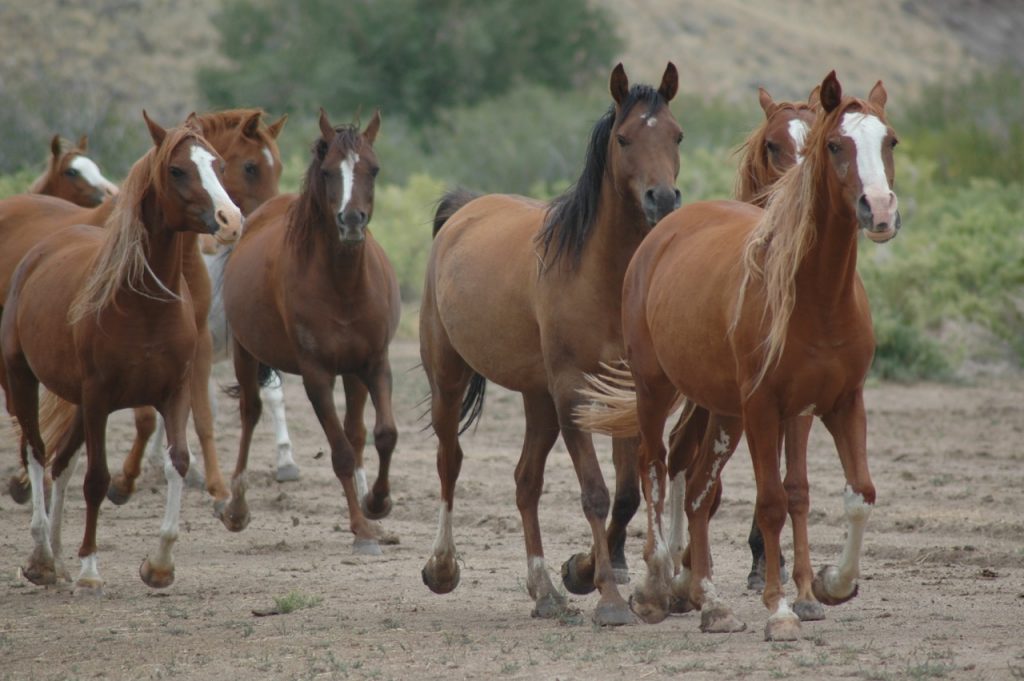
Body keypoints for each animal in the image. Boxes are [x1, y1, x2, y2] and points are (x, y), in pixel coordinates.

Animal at [1, 112, 242, 593]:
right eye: (177, 170)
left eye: (219, 164)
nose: (231, 220)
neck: (142, 305)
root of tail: (39, 252)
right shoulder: (98, 399)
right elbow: (97, 479)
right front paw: (90, 569)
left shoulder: (174, 392)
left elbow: (179, 463)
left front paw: (160, 564)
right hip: (23, 380)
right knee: (36, 454)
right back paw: (42, 555)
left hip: (74, 401)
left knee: (60, 462)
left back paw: (56, 558)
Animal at [219, 109, 399, 555]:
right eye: (330, 171)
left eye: (373, 169)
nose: (351, 221)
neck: (344, 285)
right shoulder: (317, 376)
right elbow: (340, 453)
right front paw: (361, 530)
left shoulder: (375, 364)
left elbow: (383, 434)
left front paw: (377, 504)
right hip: (246, 355)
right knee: (251, 413)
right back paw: (237, 508)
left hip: (353, 373)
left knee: (357, 431)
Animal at [419, 63, 683, 626]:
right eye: (624, 138)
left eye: (676, 135)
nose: (664, 199)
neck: (598, 274)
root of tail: (465, 211)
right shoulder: (571, 394)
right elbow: (595, 493)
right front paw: (609, 597)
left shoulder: (624, 396)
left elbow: (627, 494)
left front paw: (582, 573)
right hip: (450, 379)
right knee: (450, 461)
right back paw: (442, 567)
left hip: (535, 397)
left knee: (526, 482)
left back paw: (543, 589)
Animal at [577, 71, 899, 640]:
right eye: (836, 145)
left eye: (891, 142)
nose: (879, 210)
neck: (816, 296)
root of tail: (662, 232)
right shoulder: (765, 408)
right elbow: (771, 502)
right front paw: (781, 609)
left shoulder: (838, 403)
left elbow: (852, 492)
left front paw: (829, 585)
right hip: (659, 389)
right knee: (654, 466)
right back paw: (657, 585)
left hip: (724, 410)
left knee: (699, 485)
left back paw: (710, 601)